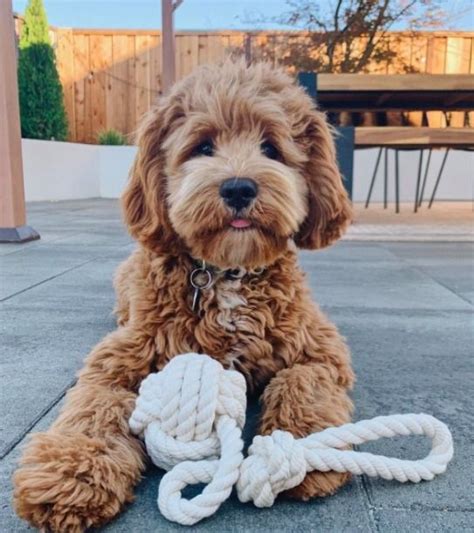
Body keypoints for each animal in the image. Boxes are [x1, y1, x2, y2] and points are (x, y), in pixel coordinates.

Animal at [12, 60, 354, 528]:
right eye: (203, 146)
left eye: (271, 148)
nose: (238, 188)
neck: (226, 273)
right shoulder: (118, 358)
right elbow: (93, 407)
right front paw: (72, 473)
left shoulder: (320, 348)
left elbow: (304, 382)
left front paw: (306, 446)